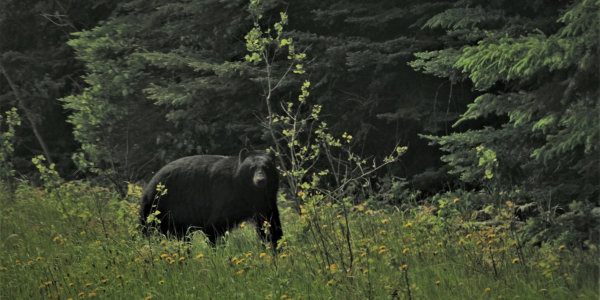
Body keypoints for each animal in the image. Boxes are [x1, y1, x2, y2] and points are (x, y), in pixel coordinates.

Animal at [139, 149, 282, 247]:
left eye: (267, 167)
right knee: (148, 230)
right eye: (252, 168)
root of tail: (149, 185)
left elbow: (271, 224)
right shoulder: (224, 194)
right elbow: (215, 225)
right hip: (160, 208)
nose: (260, 180)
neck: (248, 192)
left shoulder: (266, 202)